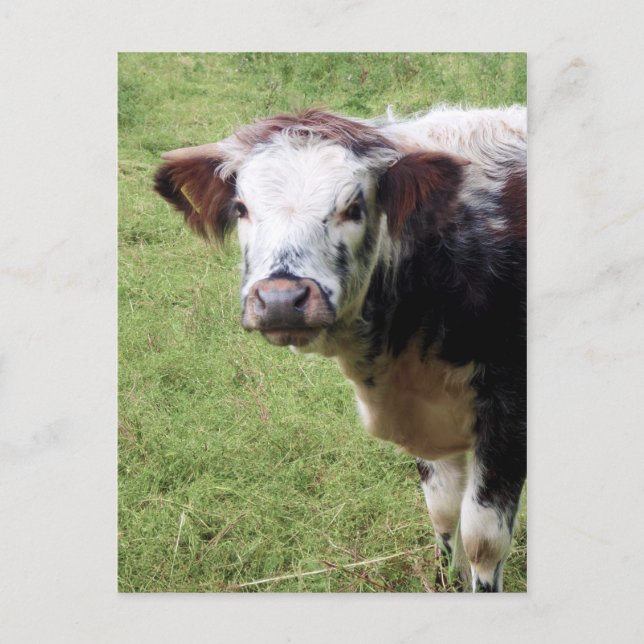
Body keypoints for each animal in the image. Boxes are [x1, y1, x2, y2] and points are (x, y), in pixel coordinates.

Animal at [154, 106, 527, 592]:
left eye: (354, 207)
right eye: (241, 208)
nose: (280, 299)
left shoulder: (508, 415)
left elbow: (483, 540)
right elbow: (445, 516)